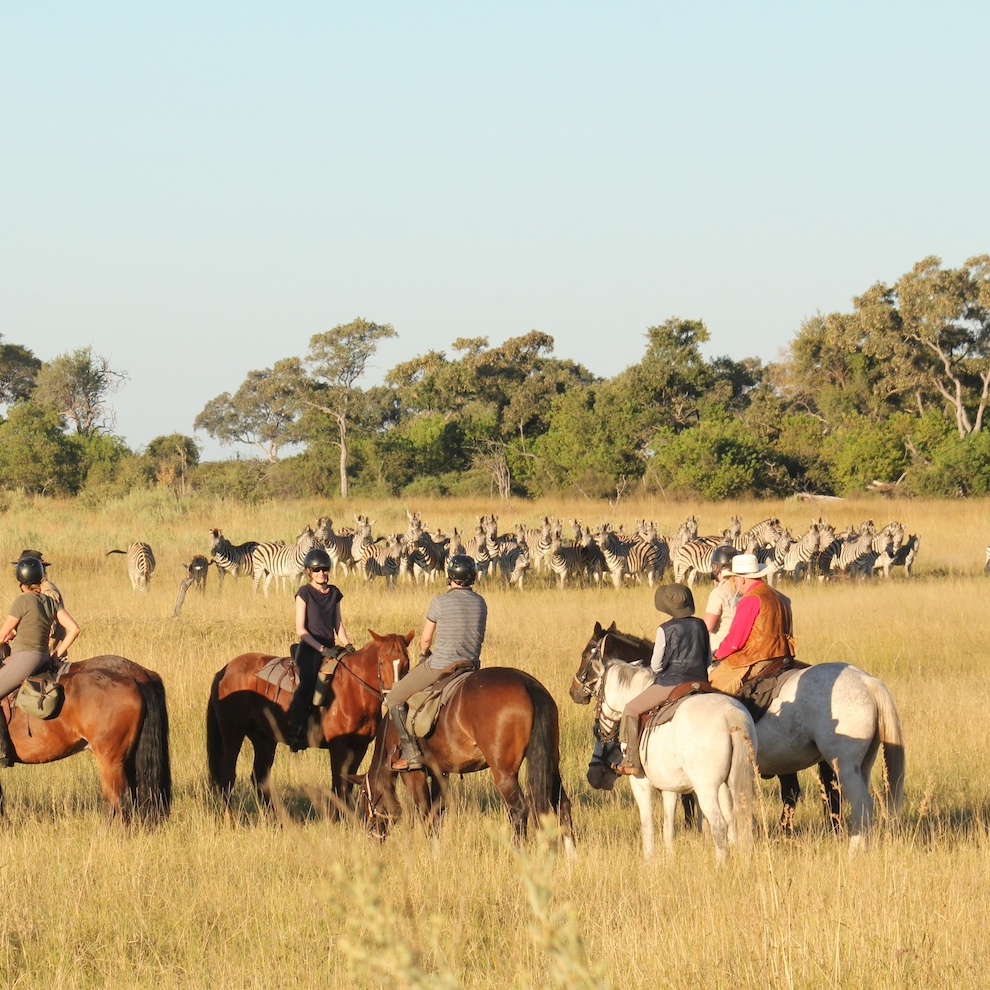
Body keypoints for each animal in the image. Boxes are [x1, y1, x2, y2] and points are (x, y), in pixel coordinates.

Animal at [207, 632, 412, 816]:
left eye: (406, 663)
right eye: (382, 662)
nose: (395, 695)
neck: (354, 690)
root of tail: (225, 670)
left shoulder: (360, 746)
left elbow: (347, 785)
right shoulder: (339, 747)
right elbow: (338, 785)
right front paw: (338, 820)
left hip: (263, 739)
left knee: (259, 778)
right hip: (233, 732)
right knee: (227, 776)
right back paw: (231, 819)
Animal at [356, 668, 576, 852]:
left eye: (363, 798)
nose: (371, 837)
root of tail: (527, 684)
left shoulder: (412, 774)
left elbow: (426, 812)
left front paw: (433, 851)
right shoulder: (440, 773)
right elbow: (437, 811)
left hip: (504, 775)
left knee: (519, 811)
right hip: (550, 764)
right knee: (562, 804)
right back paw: (571, 856)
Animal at [568, 648, 756, 864]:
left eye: (597, 732)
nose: (593, 776)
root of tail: (731, 716)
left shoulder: (640, 784)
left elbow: (647, 825)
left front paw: (648, 861)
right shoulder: (670, 786)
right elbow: (668, 827)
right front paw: (669, 857)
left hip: (706, 788)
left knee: (719, 825)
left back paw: (720, 865)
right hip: (732, 783)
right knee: (738, 822)